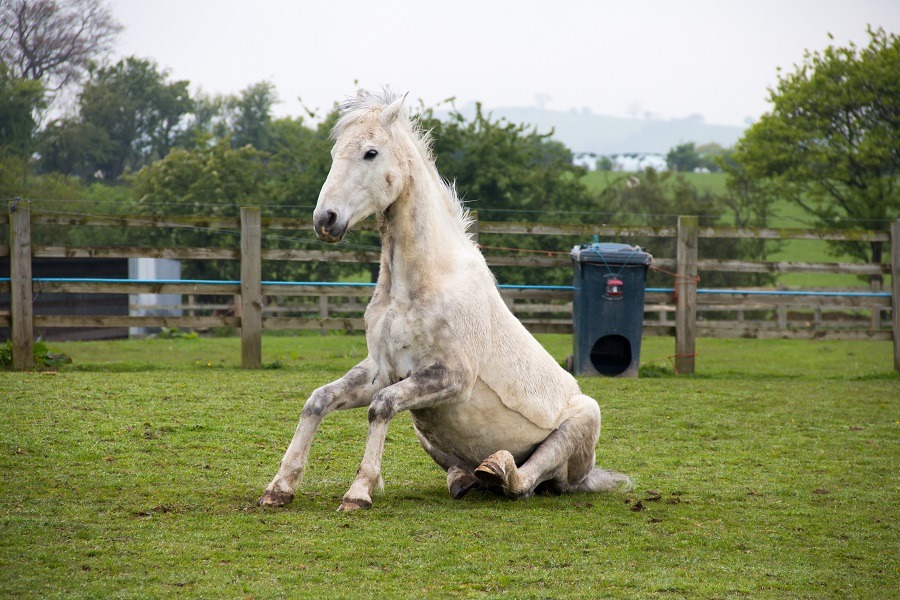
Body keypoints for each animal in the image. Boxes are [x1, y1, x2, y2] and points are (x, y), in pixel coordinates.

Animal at [256, 90, 628, 510]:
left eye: (370, 153)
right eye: (335, 153)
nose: (326, 220)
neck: (419, 285)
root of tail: (587, 475)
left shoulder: (452, 377)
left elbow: (381, 406)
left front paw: (359, 492)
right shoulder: (382, 369)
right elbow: (318, 400)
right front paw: (280, 487)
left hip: (580, 425)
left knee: (526, 482)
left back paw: (500, 467)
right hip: (428, 431)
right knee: (466, 471)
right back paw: (468, 478)